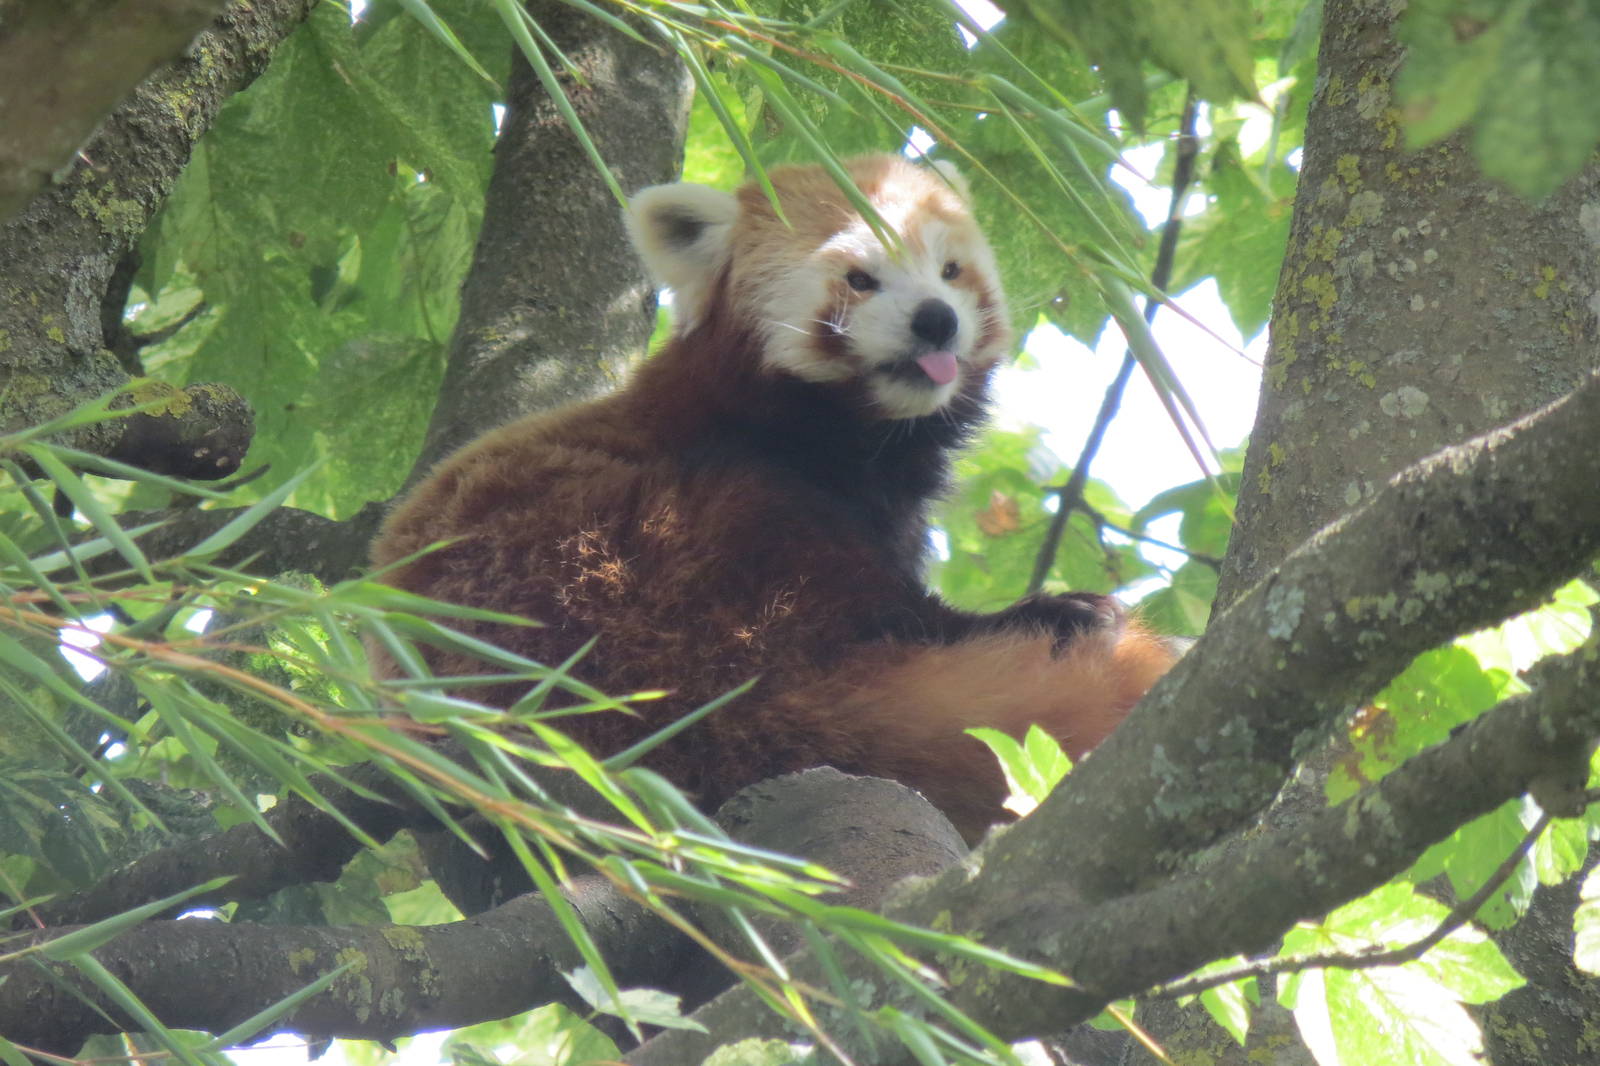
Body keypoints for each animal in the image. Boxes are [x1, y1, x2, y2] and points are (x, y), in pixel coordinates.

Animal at [371, 154, 1175, 842]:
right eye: (860, 279)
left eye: (950, 271)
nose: (936, 319)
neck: (843, 433)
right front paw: (1032, 612)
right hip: (644, 558)